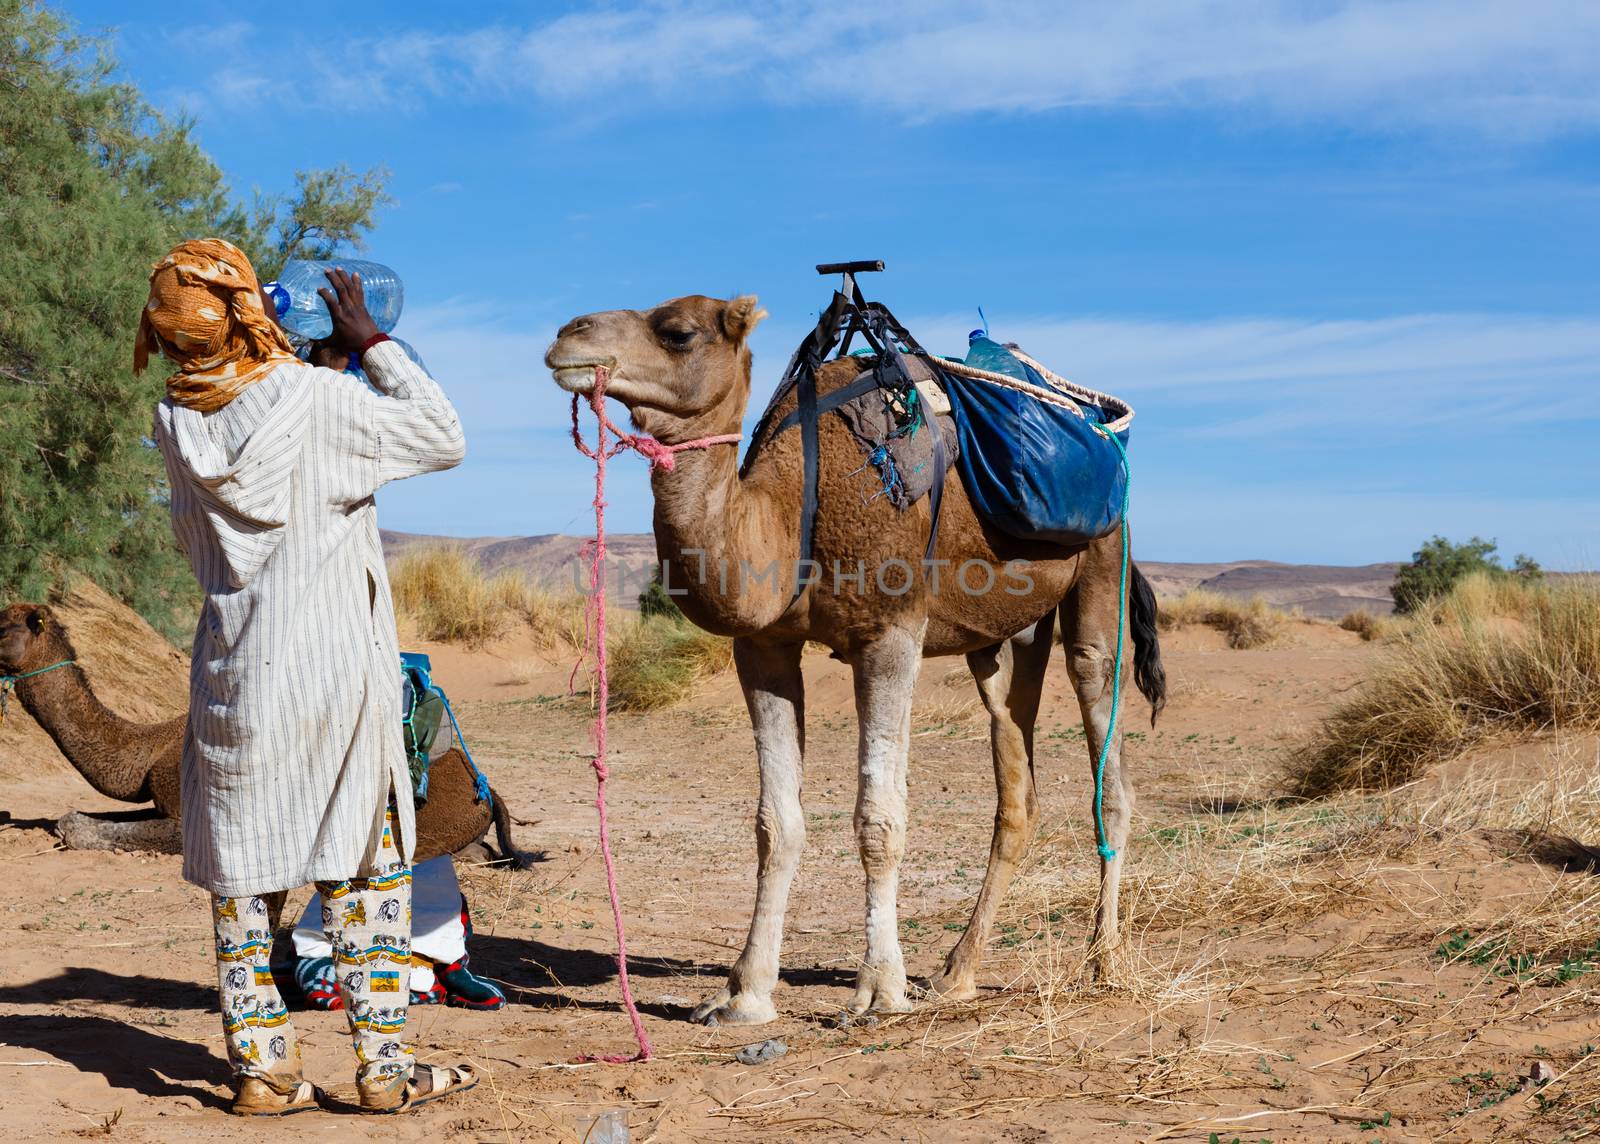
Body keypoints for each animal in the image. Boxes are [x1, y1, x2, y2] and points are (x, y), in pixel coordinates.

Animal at [547, 296, 1164, 1030]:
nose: (567, 337)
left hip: (1103, 564)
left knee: (1108, 754)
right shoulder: (763, 647)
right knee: (1017, 779)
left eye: (678, 332)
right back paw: (956, 973)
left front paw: (878, 990)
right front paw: (744, 993)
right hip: (1002, 640)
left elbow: (879, 818)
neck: (790, 512)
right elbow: (775, 823)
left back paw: (1103, 961)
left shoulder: (890, 632)